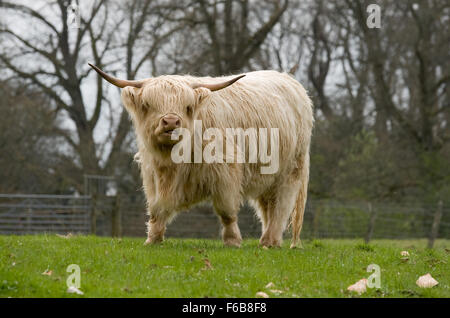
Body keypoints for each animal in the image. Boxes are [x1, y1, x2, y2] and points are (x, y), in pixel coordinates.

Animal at [88, 63, 312, 247]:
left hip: (291, 170)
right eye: (147, 105)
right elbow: (157, 208)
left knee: (281, 204)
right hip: (267, 176)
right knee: (268, 206)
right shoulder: (154, 174)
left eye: (187, 107)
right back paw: (270, 239)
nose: (171, 122)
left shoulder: (225, 173)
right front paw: (153, 238)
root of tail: (290, 81)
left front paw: (232, 240)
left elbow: (226, 211)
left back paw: (269, 241)